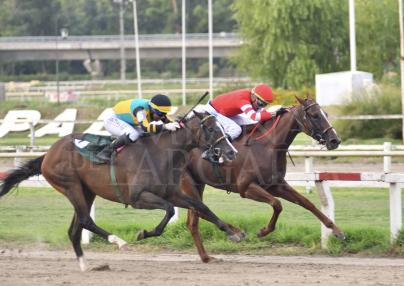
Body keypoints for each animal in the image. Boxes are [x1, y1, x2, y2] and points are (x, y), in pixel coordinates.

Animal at [0, 111, 243, 270]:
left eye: (222, 127)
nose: (232, 152)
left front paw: (233, 232)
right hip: (71, 186)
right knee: (85, 220)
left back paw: (85, 265)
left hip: (86, 191)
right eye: (211, 128)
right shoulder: (138, 198)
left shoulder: (172, 193)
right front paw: (143, 233)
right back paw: (118, 241)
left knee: (75, 228)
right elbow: (169, 211)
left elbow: (201, 206)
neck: (161, 153)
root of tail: (47, 154)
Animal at [181, 97, 346, 262]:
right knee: (199, 211)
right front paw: (263, 231)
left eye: (325, 114)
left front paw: (337, 230)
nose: (335, 140)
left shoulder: (276, 185)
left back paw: (206, 256)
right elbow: (277, 204)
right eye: (314, 115)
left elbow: (306, 203)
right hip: (188, 183)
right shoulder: (246, 187)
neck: (268, 146)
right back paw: (233, 234)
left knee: (193, 221)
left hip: (198, 184)